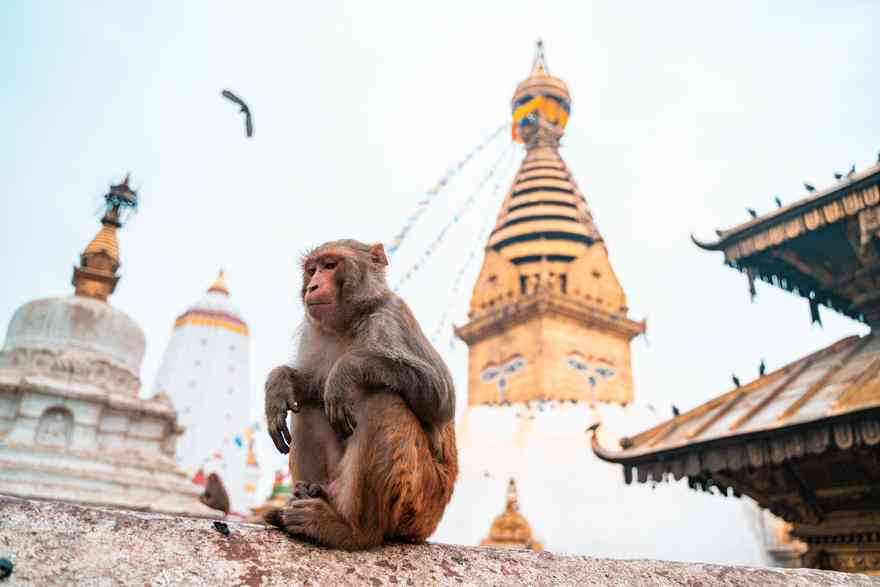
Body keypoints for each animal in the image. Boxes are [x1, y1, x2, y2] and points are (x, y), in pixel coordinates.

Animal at [262, 239, 460, 552]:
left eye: (331, 265)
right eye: (312, 270)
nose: (313, 286)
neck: (350, 321)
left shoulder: (392, 318)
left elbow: (441, 398)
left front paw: (347, 369)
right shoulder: (313, 333)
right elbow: (314, 389)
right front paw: (279, 383)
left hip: (419, 502)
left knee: (382, 400)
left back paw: (350, 530)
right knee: (310, 407)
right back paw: (310, 499)